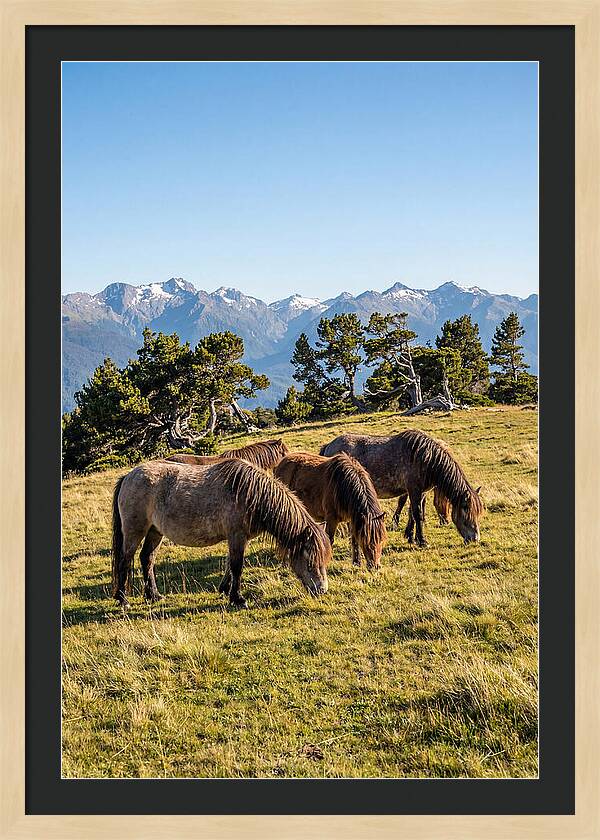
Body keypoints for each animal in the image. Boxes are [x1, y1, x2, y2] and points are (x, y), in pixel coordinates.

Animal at [112, 458, 330, 609]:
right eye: (310, 561)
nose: (322, 590)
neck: (250, 494)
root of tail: (128, 477)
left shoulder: (239, 538)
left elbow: (229, 565)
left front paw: (225, 590)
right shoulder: (236, 536)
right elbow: (237, 566)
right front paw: (238, 599)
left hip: (155, 532)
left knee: (147, 559)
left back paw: (153, 595)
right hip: (135, 531)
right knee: (125, 560)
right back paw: (123, 600)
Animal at [320, 429, 482, 546]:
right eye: (466, 509)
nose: (475, 538)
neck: (425, 458)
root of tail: (328, 446)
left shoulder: (420, 493)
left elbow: (413, 513)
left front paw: (410, 537)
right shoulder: (414, 490)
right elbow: (417, 514)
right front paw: (422, 541)